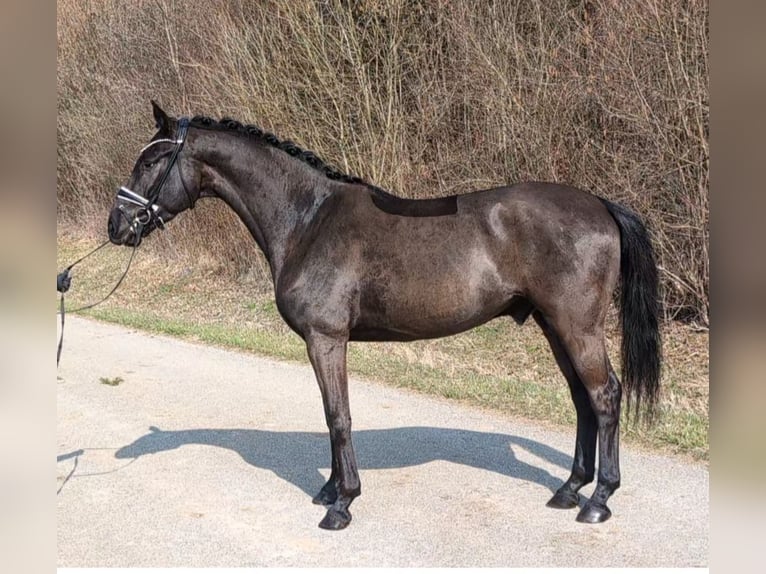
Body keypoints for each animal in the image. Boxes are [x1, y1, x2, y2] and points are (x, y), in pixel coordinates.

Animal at [107, 101, 661, 530]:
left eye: (153, 161)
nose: (116, 225)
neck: (307, 219)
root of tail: (600, 205)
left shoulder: (326, 338)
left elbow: (339, 416)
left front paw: (342, 504)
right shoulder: (325, 342)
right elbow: (331, 414)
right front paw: (330, 490)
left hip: (576, 326)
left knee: (604, 396)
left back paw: (598, 501)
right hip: (553, 325)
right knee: (582, 399)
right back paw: (569, 490)